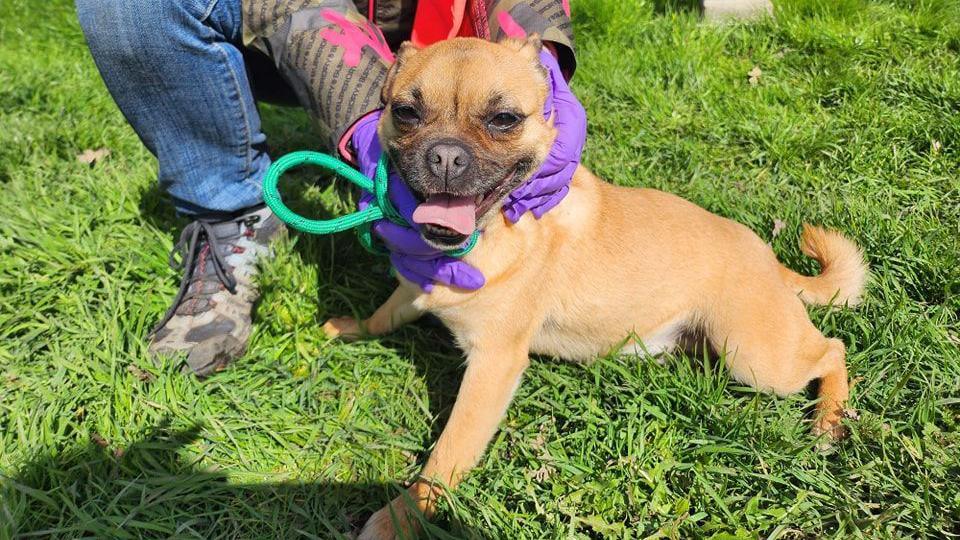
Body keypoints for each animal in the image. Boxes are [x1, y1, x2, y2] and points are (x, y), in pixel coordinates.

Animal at [324, 35, 872, 536]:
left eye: (504, 119)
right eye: (405, 112)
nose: (443, 157)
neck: (489, 234)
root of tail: (770, 262)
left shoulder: (492, 367)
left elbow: (446, 456)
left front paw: (401, 518)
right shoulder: (411, 290)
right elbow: (383, 316)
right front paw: (350, 327)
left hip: (756, 357)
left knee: (832, 348)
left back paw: (829, 420)